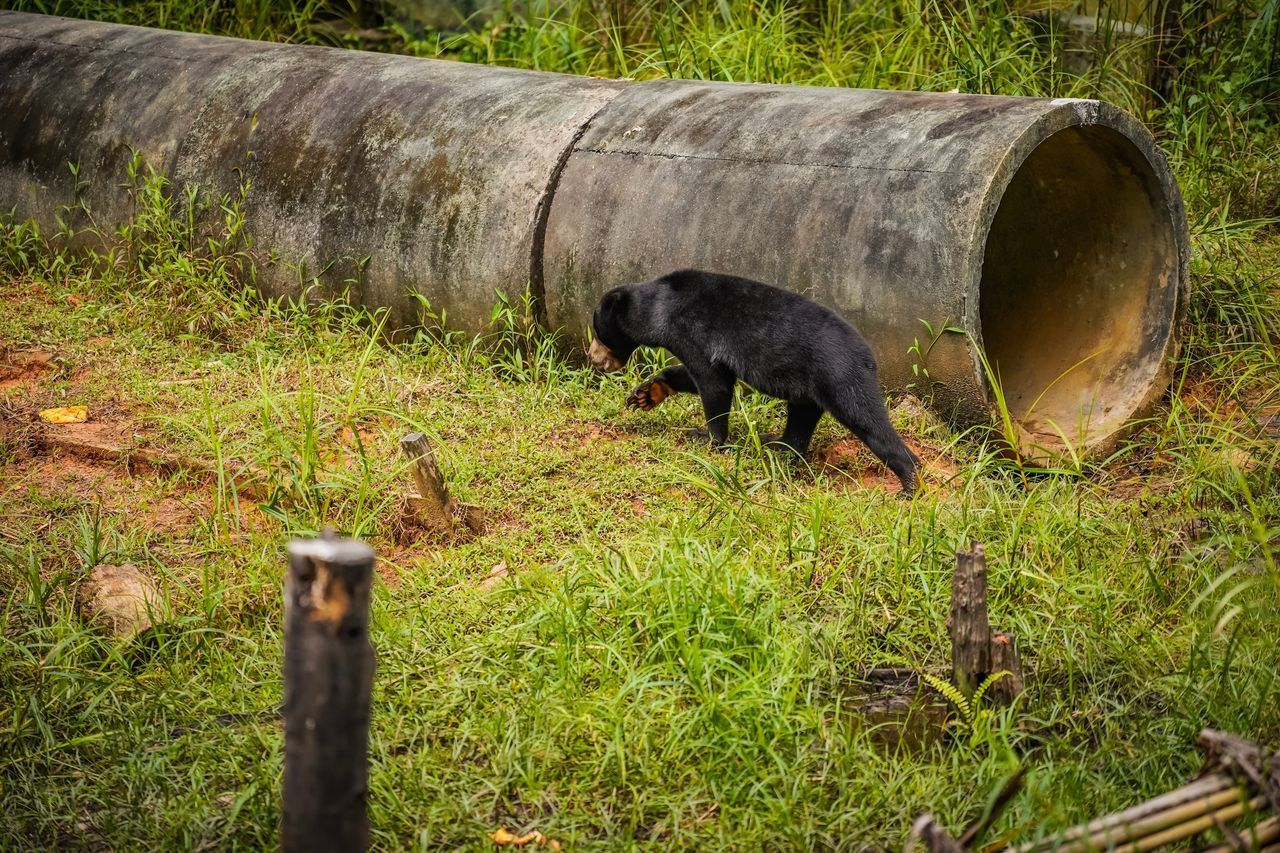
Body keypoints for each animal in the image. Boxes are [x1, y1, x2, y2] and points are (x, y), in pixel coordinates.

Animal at [586, 266, 926, 491]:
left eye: (598, 332)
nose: (593, 358)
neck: (660, 308)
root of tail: (868, 356)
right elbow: (698, 377)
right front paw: (645, 394)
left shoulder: (691, 332)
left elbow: (713, 383)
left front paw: (707, 437)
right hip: (808, 388)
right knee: (800, 422)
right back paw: (774, 442)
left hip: (838, 375)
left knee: (867, 419)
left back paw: (910, 480)